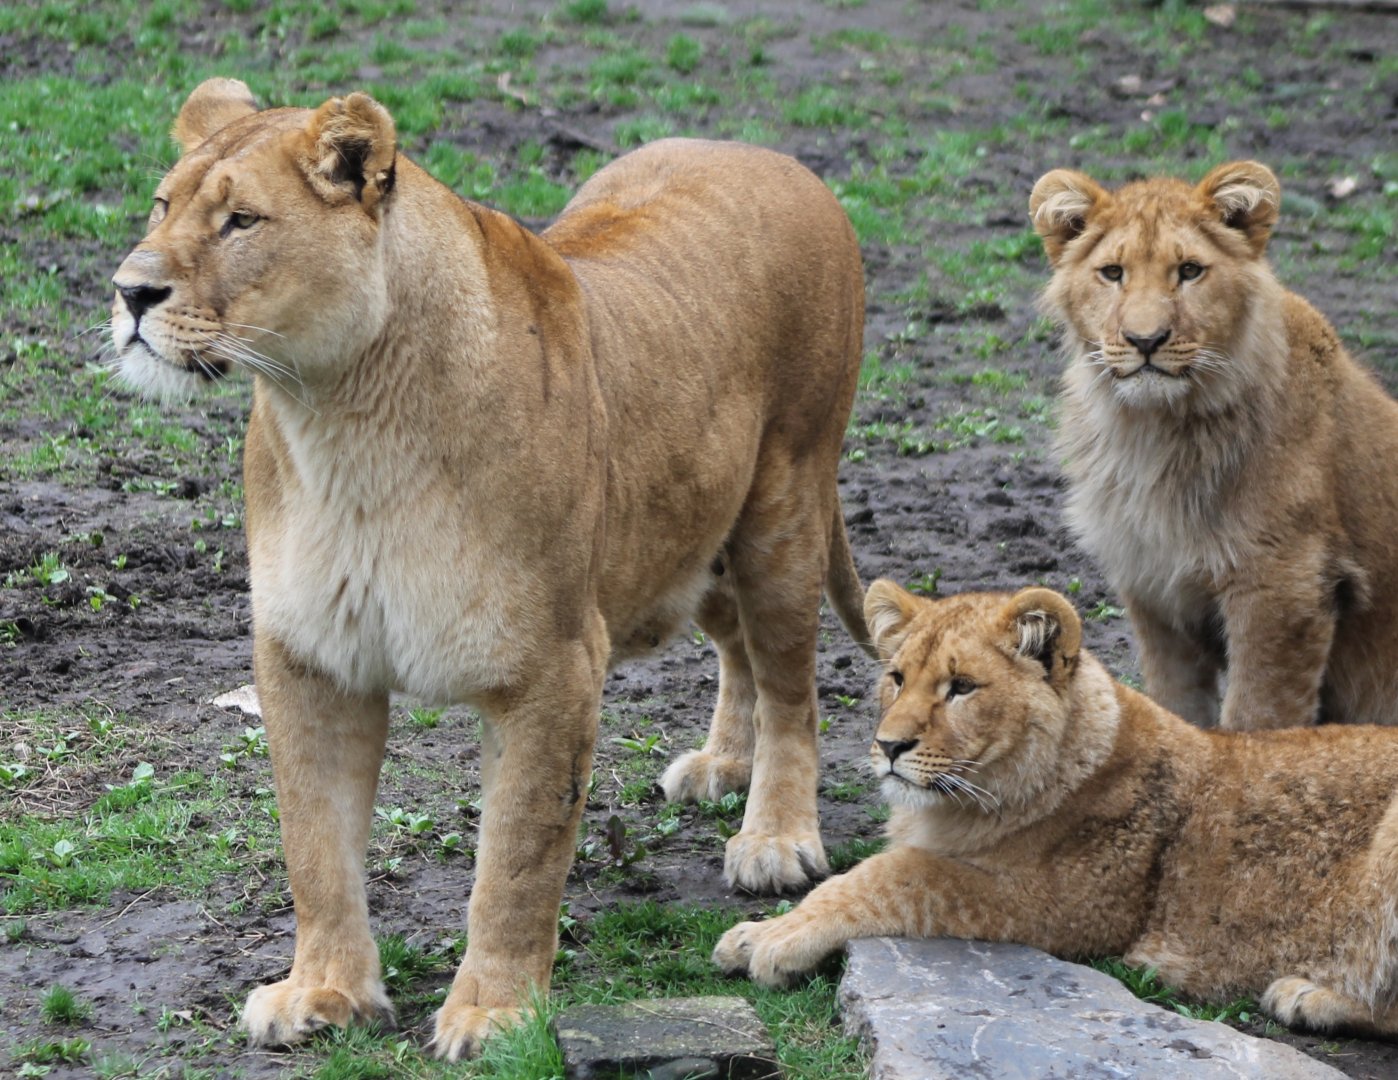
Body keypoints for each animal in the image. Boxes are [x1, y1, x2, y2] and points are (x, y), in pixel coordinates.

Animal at [110, 78, 871, 1059]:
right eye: (161, 206)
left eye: (241, 220)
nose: (130, 292)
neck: (341, 421)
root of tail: (768, 154)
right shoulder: (310, 657)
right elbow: (315, 845)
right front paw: (322, 993)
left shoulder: (552, 664)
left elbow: (516, 858)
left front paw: (495, 1015)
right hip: (687, 538)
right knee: (737, 649)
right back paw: (721, 767)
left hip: (784, 511)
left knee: (791, 684)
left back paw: (774, 838)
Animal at [715, 580, 1398, 1037]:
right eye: (897, 677)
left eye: (962, 687)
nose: (888, 746)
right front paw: (764, 931)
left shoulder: (1063, 906)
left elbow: (897, 874)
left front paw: (773, 938)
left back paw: (1307, 996)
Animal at [1027, 160, 1398, 732]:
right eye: (1112, 273)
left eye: (1189, 271)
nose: (1146, 340)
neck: (1157, 432)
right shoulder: (1151, 585)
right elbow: (1174, 705)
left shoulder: (1285, 586)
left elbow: (1256, 719)